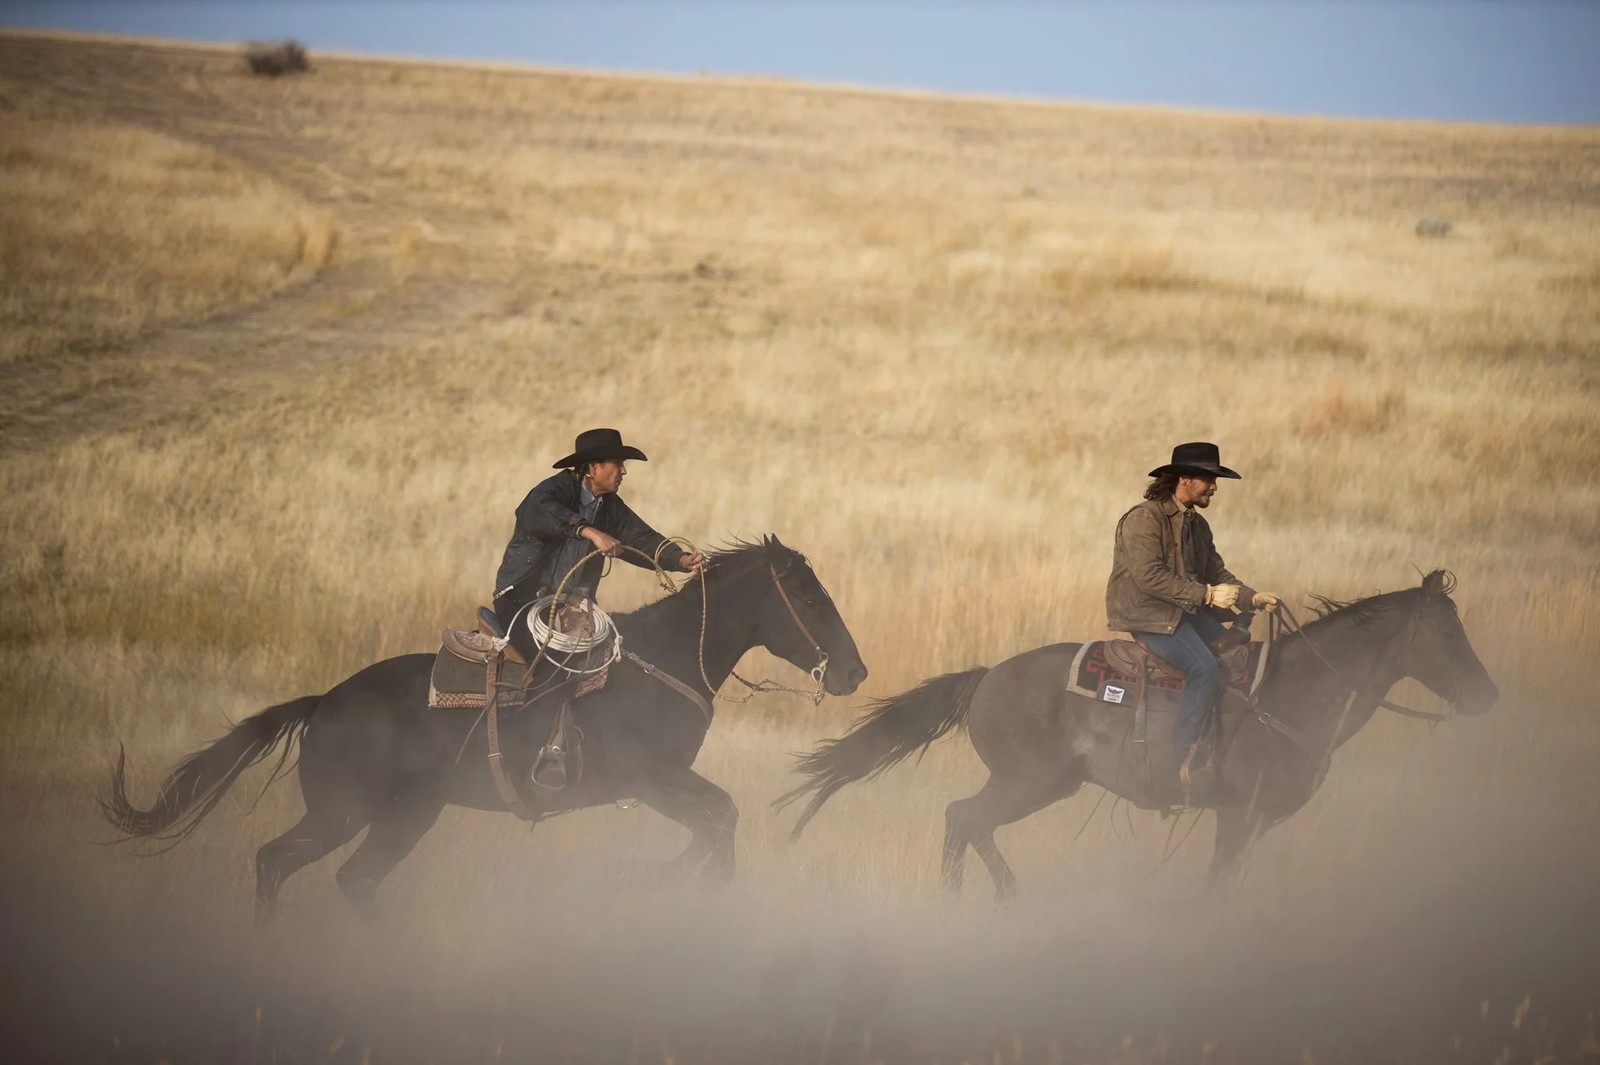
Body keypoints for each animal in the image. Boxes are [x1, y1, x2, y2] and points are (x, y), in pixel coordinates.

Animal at [104, 534, 870, 914]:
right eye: (808, 596)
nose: (854, 671)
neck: (666, 658)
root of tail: (322, 702)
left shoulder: (662, 784)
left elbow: (718, 820)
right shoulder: (649, 779)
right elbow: (718, 815)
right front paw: (676, 882)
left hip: (385, 816)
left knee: (323, 872)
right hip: (356, 813)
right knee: (297, 866)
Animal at [777, 572, 1497, 895]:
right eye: (1446, 631)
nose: (1487, 694)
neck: (1296, 691)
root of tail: (987, 675)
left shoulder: (1256, 822)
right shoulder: (1238, 814)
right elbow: (1213, 887)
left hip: (1050, 784)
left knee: (971, 823)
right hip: (1027, 781)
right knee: (964, 817)